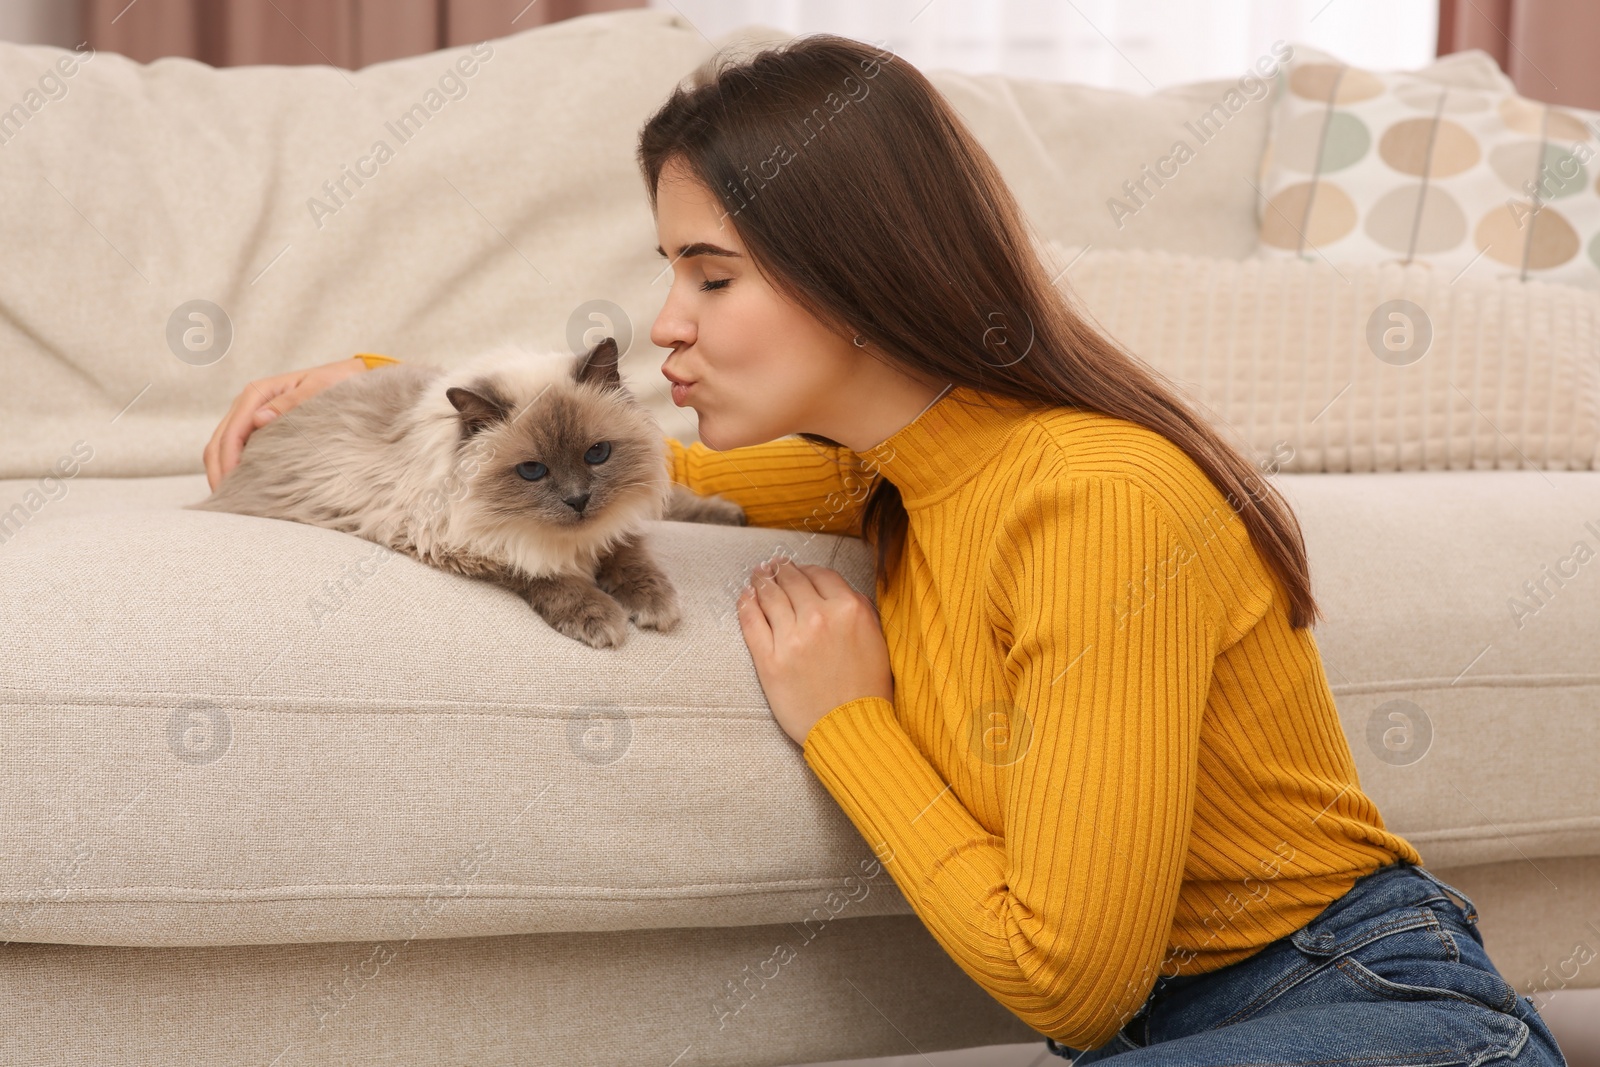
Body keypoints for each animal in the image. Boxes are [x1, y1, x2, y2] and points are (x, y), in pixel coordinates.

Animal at [190, 337, 752, 646]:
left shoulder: (613, 523)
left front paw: (653, 603)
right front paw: (599, 616)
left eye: (597, 455)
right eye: (532, 471)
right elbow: (545, 575)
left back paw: (733, 514)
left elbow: (630, 553)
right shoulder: (458, 541)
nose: (577, 501)